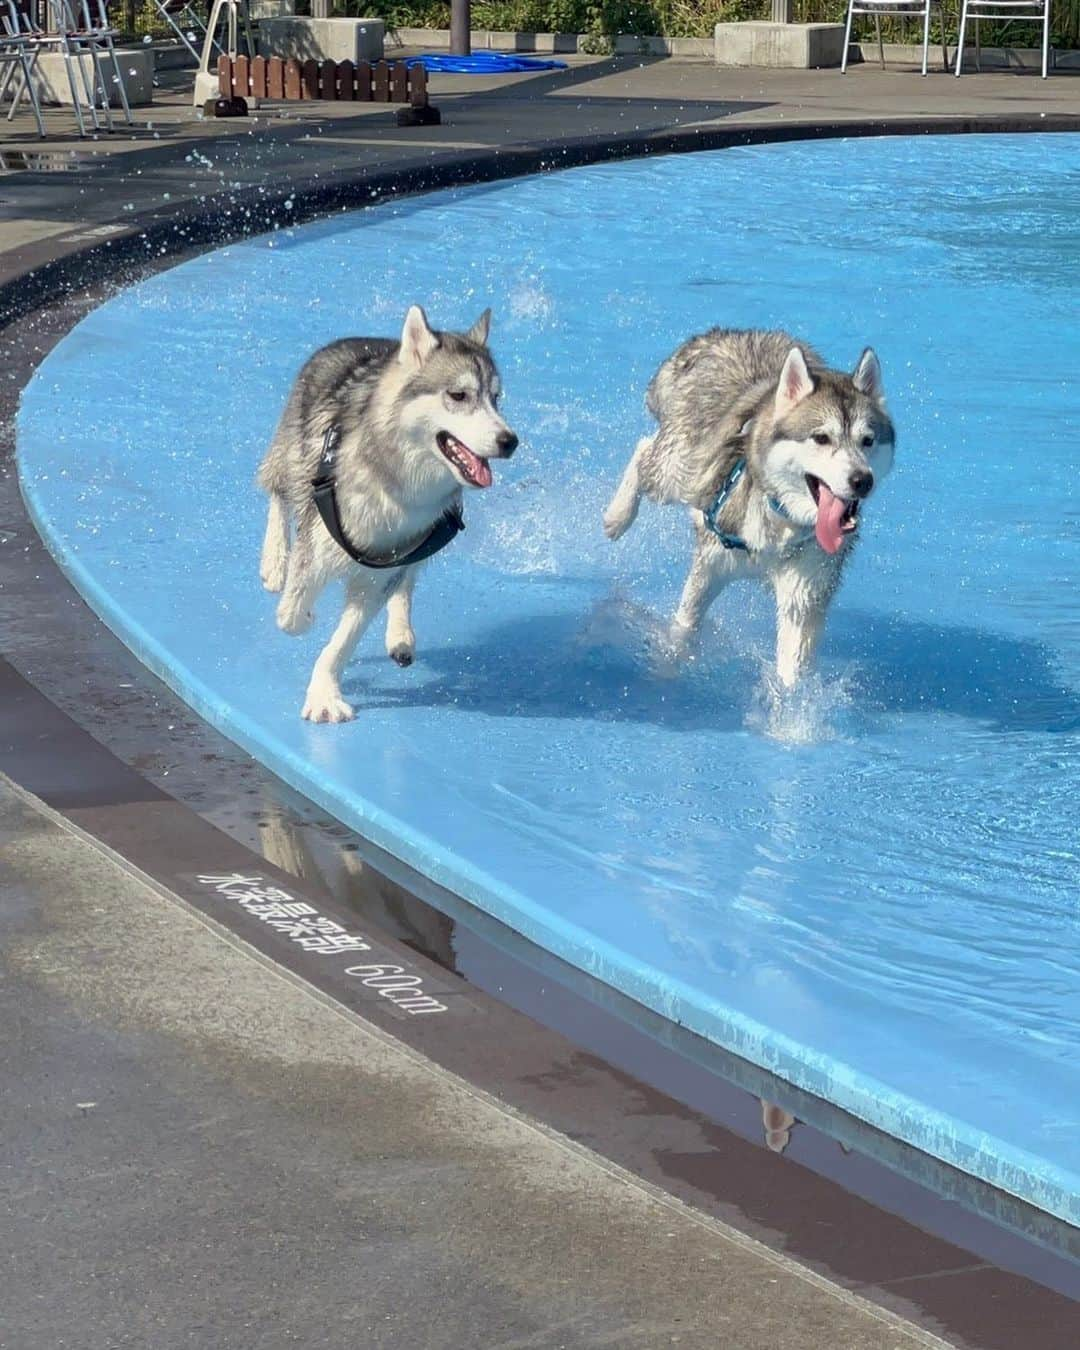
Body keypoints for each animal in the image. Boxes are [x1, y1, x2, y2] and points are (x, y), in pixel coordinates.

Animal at [259, 307, 515, 723]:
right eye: (458, 395)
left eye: (496, 399)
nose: (510, 441)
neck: (398, 483)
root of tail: (362, 340)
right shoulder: (318, 544)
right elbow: (292, 614)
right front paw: (304, 615)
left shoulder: (388, 563)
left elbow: (344, 639)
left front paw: (325, 693)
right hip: (292, 454)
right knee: (277, 493)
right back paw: (273, 561)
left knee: (406, 580)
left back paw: (400, 636)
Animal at [599, 326, 896, 685]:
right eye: (821, 438)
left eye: (868, 440)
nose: (862, 480)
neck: (780, 520)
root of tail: (723, 334)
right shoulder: (711, 565)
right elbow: (685, 626)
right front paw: (670, 663)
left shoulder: (805, 590)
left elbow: (792, 672)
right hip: (678, 472)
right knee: (644, 453)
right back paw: (618, 516)